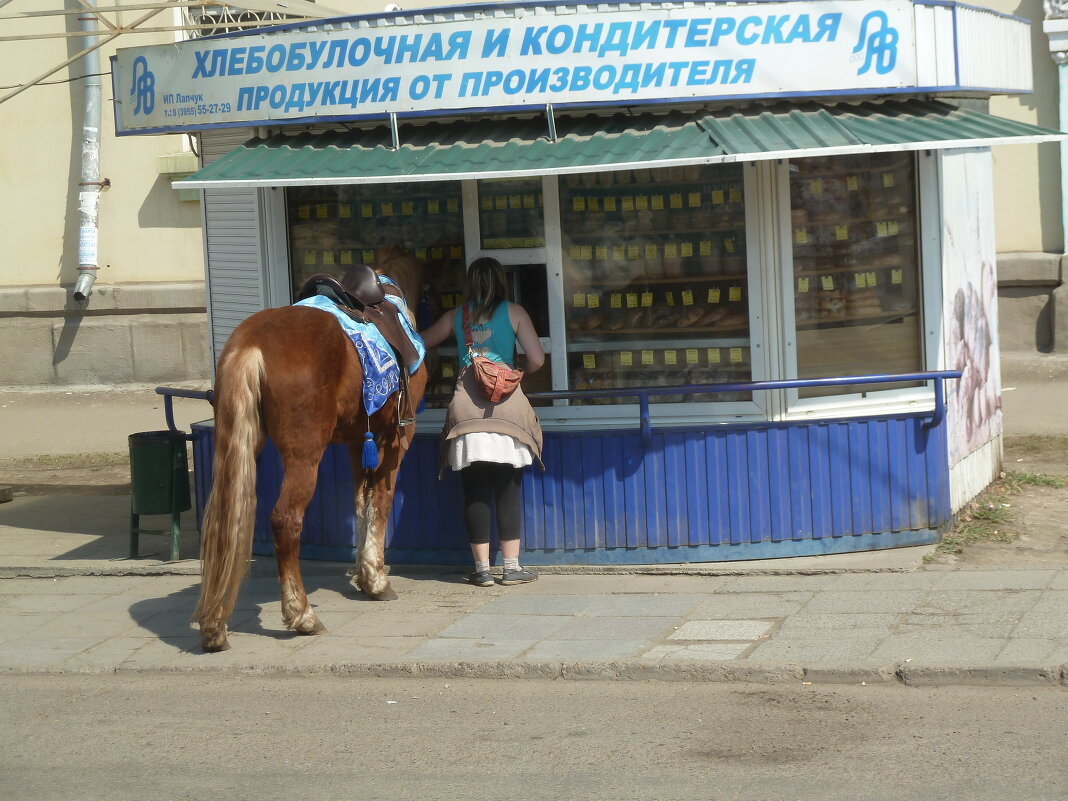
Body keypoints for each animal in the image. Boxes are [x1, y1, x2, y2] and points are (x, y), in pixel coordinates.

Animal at [194, 246, 427, 653]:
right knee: (285, 521)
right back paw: (301, 614)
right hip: (305, 456)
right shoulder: (397, 437)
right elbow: (381, 500)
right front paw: (376, 578)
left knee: (226, 521)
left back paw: (214, 625)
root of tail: (251, 344)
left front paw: (364, 574)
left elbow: (361, 502)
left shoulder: (357, 441)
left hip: (236, 447)